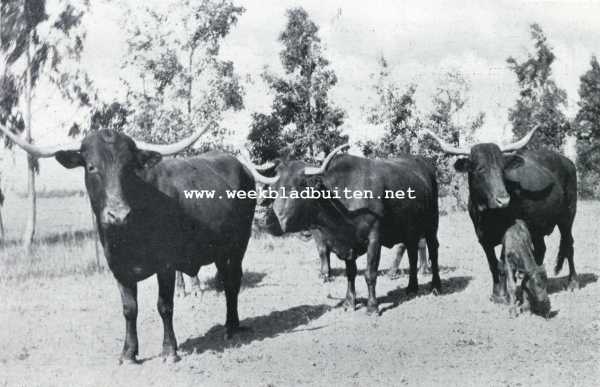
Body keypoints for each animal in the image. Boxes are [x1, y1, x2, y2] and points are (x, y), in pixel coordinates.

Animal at [0, 126, 276, 366]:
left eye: (129, 168)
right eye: (91, 167)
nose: (118, 214)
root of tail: (239, 165)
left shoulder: (166, 265)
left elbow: (165, 306)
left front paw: (169, 351)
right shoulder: (119, 269)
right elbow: (129, 309)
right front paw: (129, 353)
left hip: (239, 243)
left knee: (233, 282)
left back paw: (232, 327)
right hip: (219, 249)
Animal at [424, 126, 580, 304]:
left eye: (502, 169)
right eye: (480, 169)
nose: (503, 199)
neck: (488, 215)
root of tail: (567, 161)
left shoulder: (508, 233)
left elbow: (501, 263)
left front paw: (503, 295)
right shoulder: (482, 238)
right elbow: (493, 264)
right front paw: (496, 293)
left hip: (568, 216)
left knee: (569, 244)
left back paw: (573, 282)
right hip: (537, 226)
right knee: (541, 249)